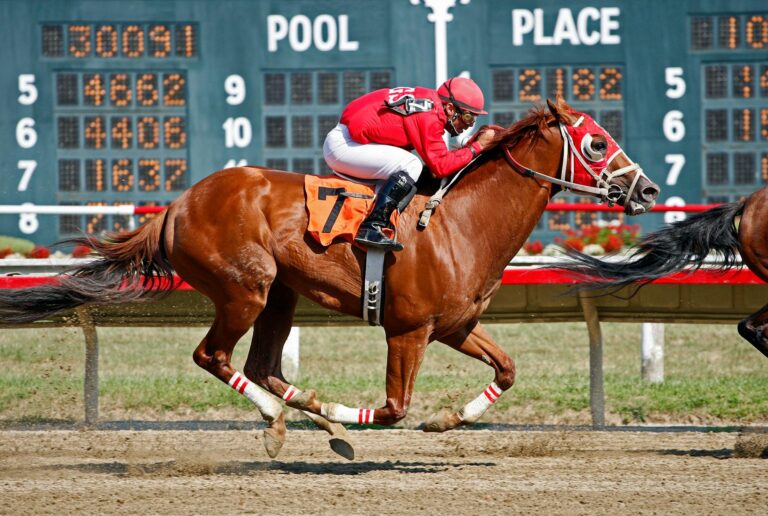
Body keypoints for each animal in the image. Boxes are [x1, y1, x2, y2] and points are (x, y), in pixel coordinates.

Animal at [0, 98, 660, 460]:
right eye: (596, 143)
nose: (649, 189)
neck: (460, 225)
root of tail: (177, 205)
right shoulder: (408, 330)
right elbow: (393, 409)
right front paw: (352, 419)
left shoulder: (455, 325)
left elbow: (507, 369)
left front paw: (447, 420)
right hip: (246, 288)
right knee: (215, 356)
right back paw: (282, 422)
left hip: (281, 295)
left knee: (263, 364)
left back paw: (303, 414)